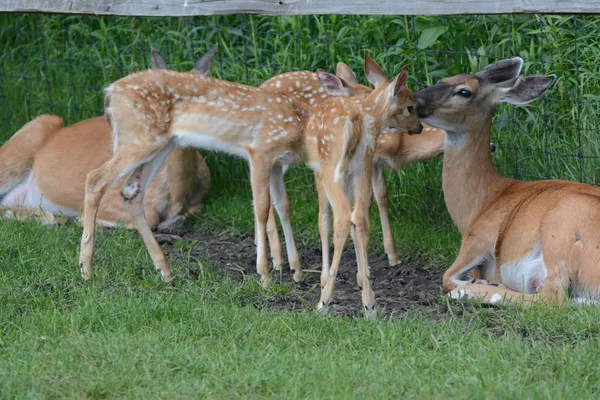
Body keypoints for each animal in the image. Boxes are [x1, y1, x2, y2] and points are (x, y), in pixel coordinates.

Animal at [78, 61, 314, 284]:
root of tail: (110, 91)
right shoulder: (260, 153)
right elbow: (262, 207)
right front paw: (265, 276)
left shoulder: (276, 162)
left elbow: (283, 205)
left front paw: (296, 271)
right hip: (140, 140)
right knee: (94, 179)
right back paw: (86, 269)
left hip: (160, 145)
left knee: (130, 192)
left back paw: (164, 270)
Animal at [304, 59, 422, 316]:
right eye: (410, 107)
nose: (419, 127)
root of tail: (356, 122)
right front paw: (361, 278)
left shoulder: (319, 171)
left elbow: (323, 220)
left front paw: (324, 279)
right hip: (362, 166)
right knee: (360, 218)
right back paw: (370, 305)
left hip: (331, 167)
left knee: (342, 219)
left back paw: (325, 301)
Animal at [410, 57, 596, 304]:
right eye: (442, 80)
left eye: (464, 91)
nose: (411, 100)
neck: (480, 205)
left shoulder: (479, 237)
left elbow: (447, 276)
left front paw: (473, 284)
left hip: (561, 228)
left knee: (551, 297)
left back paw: (473, 290)